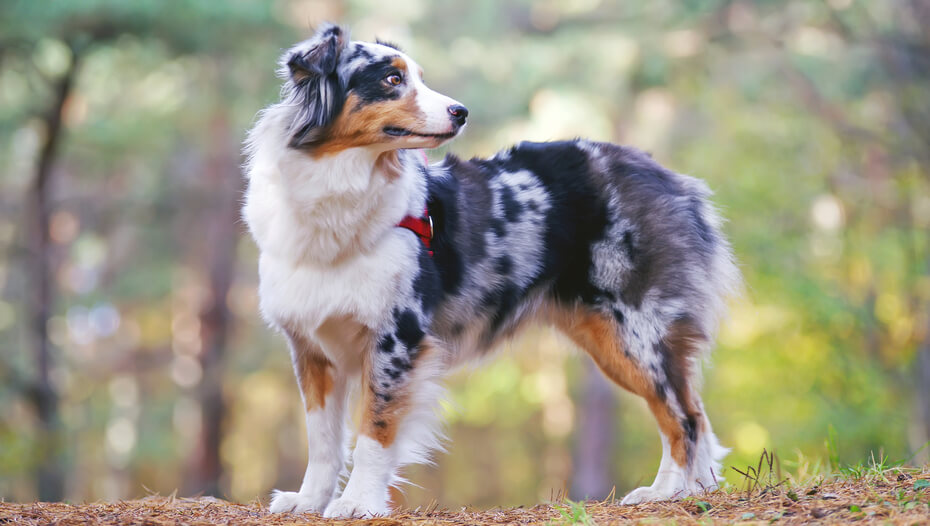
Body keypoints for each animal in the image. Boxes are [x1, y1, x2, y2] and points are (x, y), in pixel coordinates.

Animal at [245, 24, 740, 520]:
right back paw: (692, 490)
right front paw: (310, 500)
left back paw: (667, 492)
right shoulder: (312, 346)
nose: (461, 112)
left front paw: (358, 502)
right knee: (693, 413)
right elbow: (323, 439)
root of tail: (667, 176)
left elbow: (375, 428)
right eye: (391, 79)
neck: (338, 187)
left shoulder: (397, 338)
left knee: (685, 416)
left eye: (419, 78)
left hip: (635, 331)